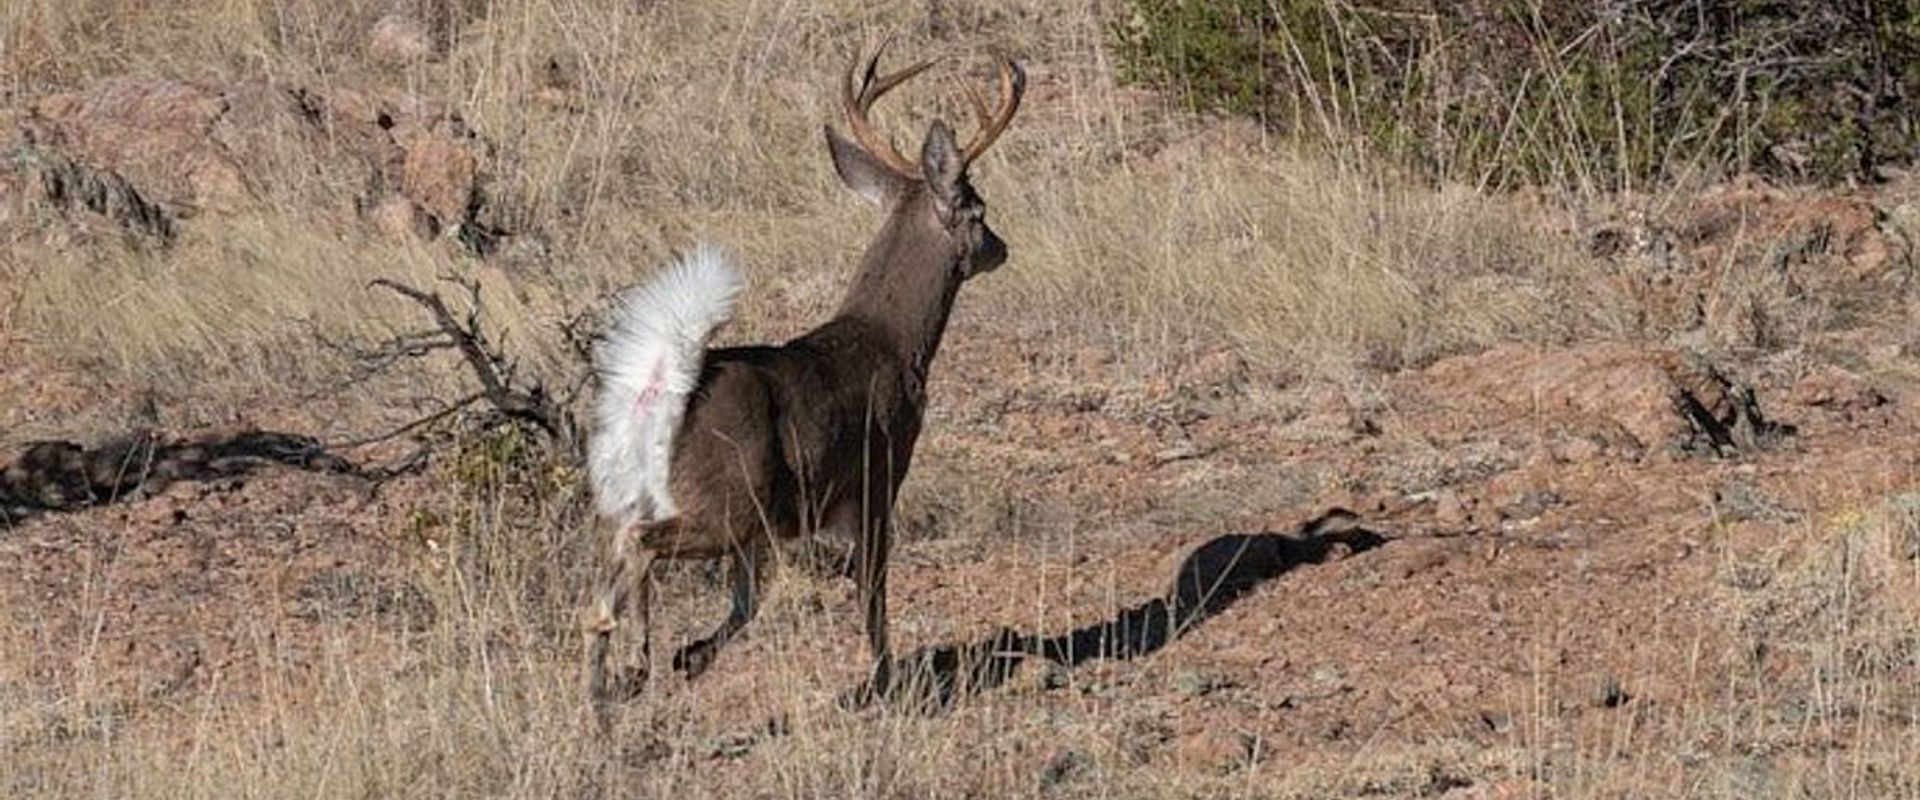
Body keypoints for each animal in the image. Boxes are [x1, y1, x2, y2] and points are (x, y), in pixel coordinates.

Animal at [582, 41, 1025, 721]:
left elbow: (747, 603)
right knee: (634, 550)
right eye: (979, 209)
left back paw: (613, 682)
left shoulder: (771, 528)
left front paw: (693, 655)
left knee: (617, 559)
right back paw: (625, 667)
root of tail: (658, 393)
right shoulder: (877, 477)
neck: (893, 343)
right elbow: (872, 593)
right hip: (724, 501)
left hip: (663, 495)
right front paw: (886, 684)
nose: (1000, 246)